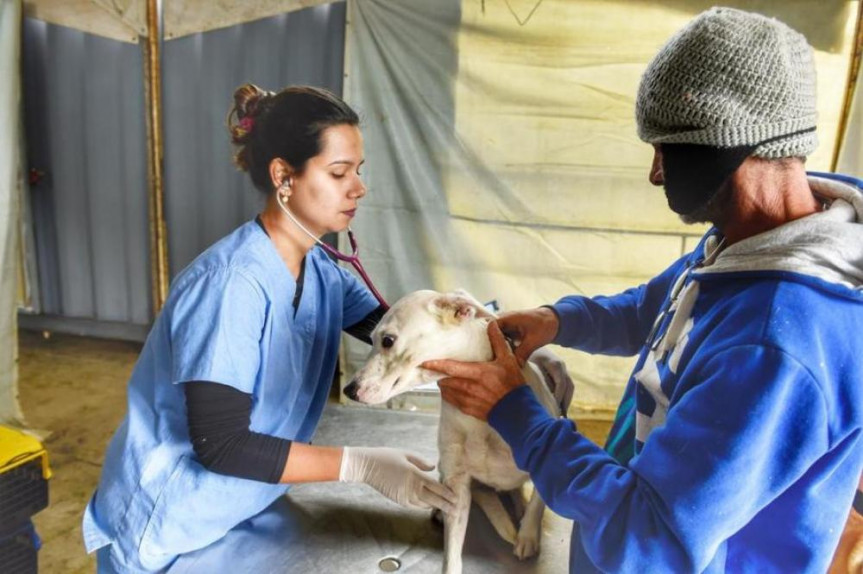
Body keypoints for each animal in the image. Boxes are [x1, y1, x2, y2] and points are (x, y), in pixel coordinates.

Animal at [344, 290, 572, 574]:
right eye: (371, 338)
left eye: (388, 341)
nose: (348, 390)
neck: (479, 416)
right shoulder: (457, 483)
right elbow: (452, 552)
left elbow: (537, 504)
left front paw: (528, 535)